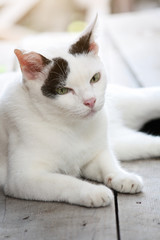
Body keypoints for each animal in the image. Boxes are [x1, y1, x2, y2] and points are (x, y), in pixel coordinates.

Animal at [0, 16, 159, 208]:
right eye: (63, 90)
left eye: (95, 78)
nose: (90, 101)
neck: (72, 127)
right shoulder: (22, 178)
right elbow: (64, 181)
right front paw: (93, 192)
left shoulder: (97, 151)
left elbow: (106, 161)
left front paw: (122, 176)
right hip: (126, 143)